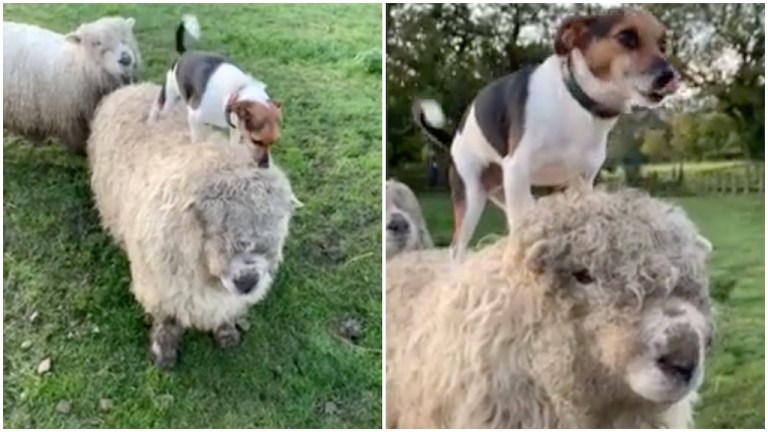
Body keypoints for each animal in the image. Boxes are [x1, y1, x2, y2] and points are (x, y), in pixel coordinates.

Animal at [147, 14, 282, 167]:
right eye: (256, 140)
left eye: (274, 141)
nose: (265, 166)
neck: (235, 93)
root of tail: (185, 53)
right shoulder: (194, 118)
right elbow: (196, 140)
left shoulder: (236, 128)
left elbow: (233, 145)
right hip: (170, 96)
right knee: (158, 108)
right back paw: (152, 123)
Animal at [414, 8, 680, 262]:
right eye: (626, 37)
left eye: (663, 45)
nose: (669, 75)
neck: (576, 103)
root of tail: (454, 141)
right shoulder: (518, 170)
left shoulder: (581, 182)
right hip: (472, 196)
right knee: (457, 249)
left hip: (503, 191)